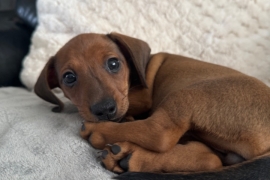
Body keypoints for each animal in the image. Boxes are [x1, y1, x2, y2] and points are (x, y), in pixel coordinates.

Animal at [34, 32, 270, 179]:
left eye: (113, 63)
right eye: (69, 77)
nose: (105, 110)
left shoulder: (139, 98)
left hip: (188, 93)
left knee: (159, 132)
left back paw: (103, 135)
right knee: (210, 159)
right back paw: (129, 158)